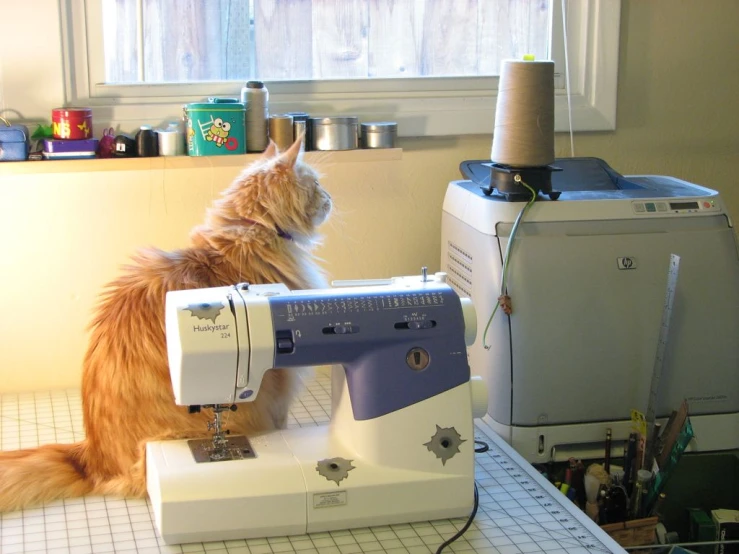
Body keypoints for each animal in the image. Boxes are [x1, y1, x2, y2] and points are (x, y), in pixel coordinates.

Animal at [0, 134, 332, 508]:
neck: (249, 233)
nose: (331, 199)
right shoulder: (279, 384)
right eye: (317, 185)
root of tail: (92, 459)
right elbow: (281, 419)